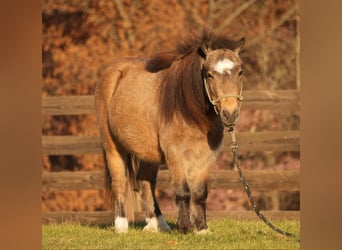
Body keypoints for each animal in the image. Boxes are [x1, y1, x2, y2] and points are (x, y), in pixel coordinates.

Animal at [95, 26, 244, 233]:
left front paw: (202, 229)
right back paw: (121, 226)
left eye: (240, 72)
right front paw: (185, 228)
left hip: (147, 152)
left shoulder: (204, 157)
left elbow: (200, 193)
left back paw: (157, 224)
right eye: (209, 74)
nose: (230, 114)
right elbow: (182, 191)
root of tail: (112, 72)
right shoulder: (175, 154)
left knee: (145, 182)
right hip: (113, 147)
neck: (189, 111)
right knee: (120, 182)